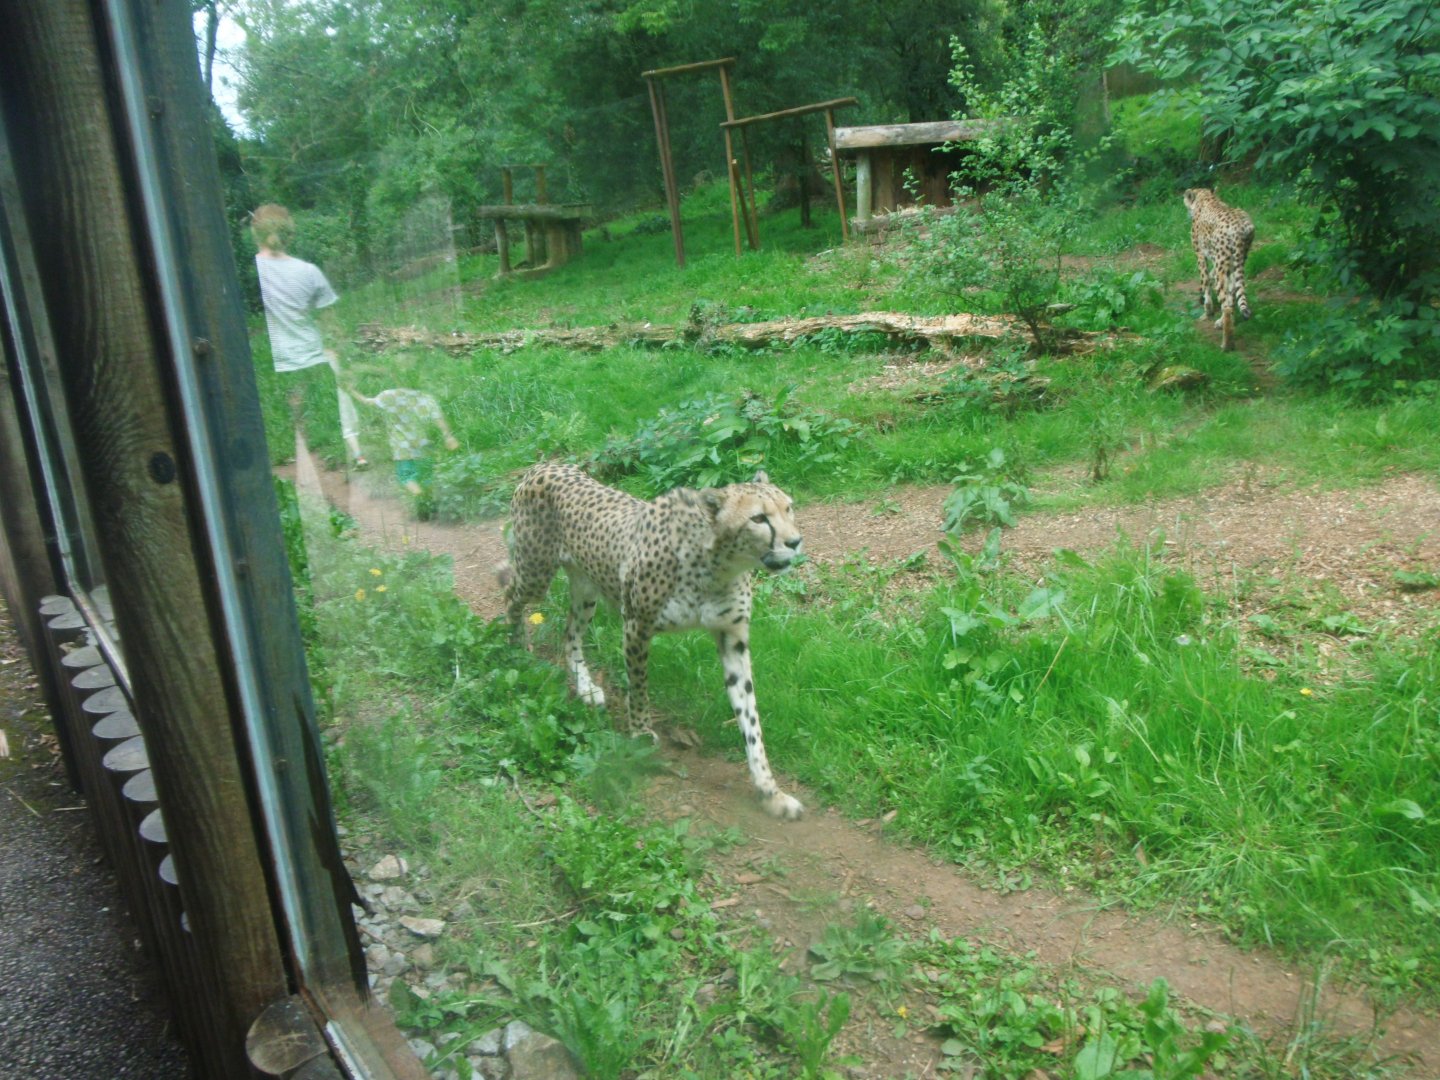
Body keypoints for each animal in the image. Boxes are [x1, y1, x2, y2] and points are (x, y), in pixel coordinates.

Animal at [499, 462, 805, 820]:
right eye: (758, 518)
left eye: (789, 508)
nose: (795, 541)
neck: (716, 566)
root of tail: (546, 463)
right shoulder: (636, 624)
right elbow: (638, 685)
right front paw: (642, 732)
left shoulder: (733, 638)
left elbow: (750, 720)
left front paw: (770, 791)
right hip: (536, 573)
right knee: (511, 595)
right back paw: (517, 647)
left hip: (586, 587)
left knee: (570, 633)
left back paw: (585, 687)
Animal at [1184, 187, 1255, 351]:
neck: (1207, 198)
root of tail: (1242, 226)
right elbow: (1211, 277)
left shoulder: (1200, 254)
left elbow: (1205, 281)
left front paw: (1206, 312)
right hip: (1237, 261)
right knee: (1232, 294)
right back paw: (1223, 323)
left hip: (1223, 263)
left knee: (1226, 304)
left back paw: (1227, 344)